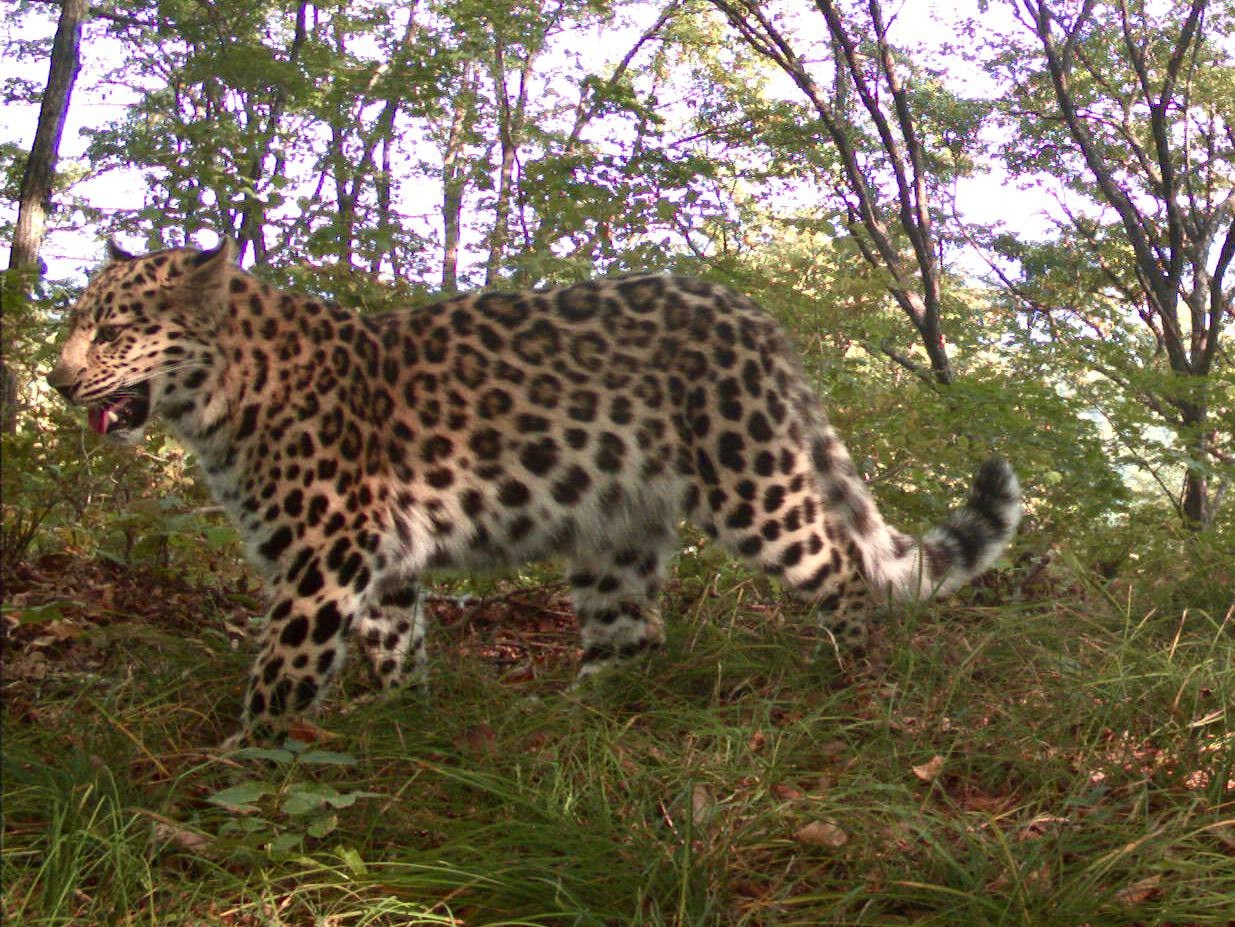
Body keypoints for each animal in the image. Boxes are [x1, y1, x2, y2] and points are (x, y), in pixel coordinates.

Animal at [48, 240, 1017, 745]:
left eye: (113, 330)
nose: (56, 382)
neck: (216, 401)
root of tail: (753, 315)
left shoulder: (323, 555)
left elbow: (282, 673)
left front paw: (238, 761)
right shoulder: (377, 558)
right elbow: (395, 643)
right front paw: (403, 720)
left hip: (750, 479)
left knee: (840, 569)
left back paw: (851, 681)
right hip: (614, 524)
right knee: (632, 634)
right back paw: (567, 718)